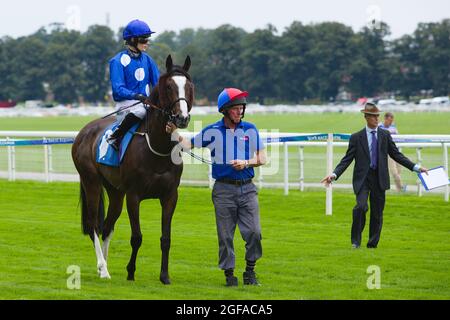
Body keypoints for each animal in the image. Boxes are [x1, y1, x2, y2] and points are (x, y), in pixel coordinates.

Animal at [71, 55, 193, 284]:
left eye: (189, 86)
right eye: (169, 86)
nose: (181, 118)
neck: (157, 149)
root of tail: (84, 132)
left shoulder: (170, 196)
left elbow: (166, 238)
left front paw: (165, 276)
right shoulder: (134, 196)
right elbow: (137, 237)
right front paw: (130, 271)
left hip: (115, 191)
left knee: (107, 226)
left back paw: (104, 267)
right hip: (91, 181)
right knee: (93, 225)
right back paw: (103, 268)